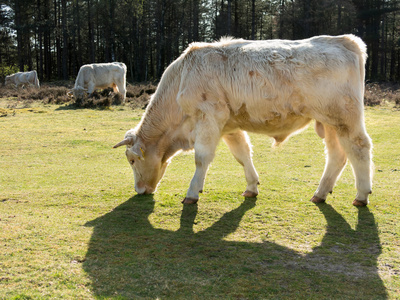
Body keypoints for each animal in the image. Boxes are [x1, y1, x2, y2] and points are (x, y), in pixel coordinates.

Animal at [112, 34, 372, 206]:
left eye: (132, 161)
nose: (139, 190)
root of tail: (344, 40)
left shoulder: (208, 118)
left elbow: (201, 158)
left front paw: (192, 193)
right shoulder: (229, 126)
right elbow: (243, 154)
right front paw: (251, 187)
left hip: (345, 119)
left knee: (359, 148)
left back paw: (361, 195)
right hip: (329, 123)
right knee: (337, 155)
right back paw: (320, 193)